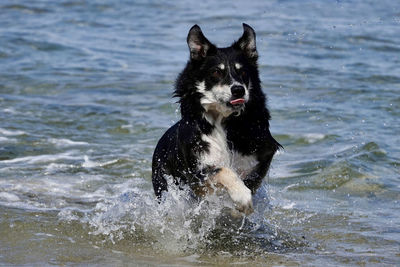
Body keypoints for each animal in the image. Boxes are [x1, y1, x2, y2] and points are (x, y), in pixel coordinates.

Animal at [151, 23, 282, 216]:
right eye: (216, 72)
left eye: (243, 71)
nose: (238, 90)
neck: (222, 119)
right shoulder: (196, 175)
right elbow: (223, 170)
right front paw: (241, 195)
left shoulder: (263, 153)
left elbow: (251, 178)